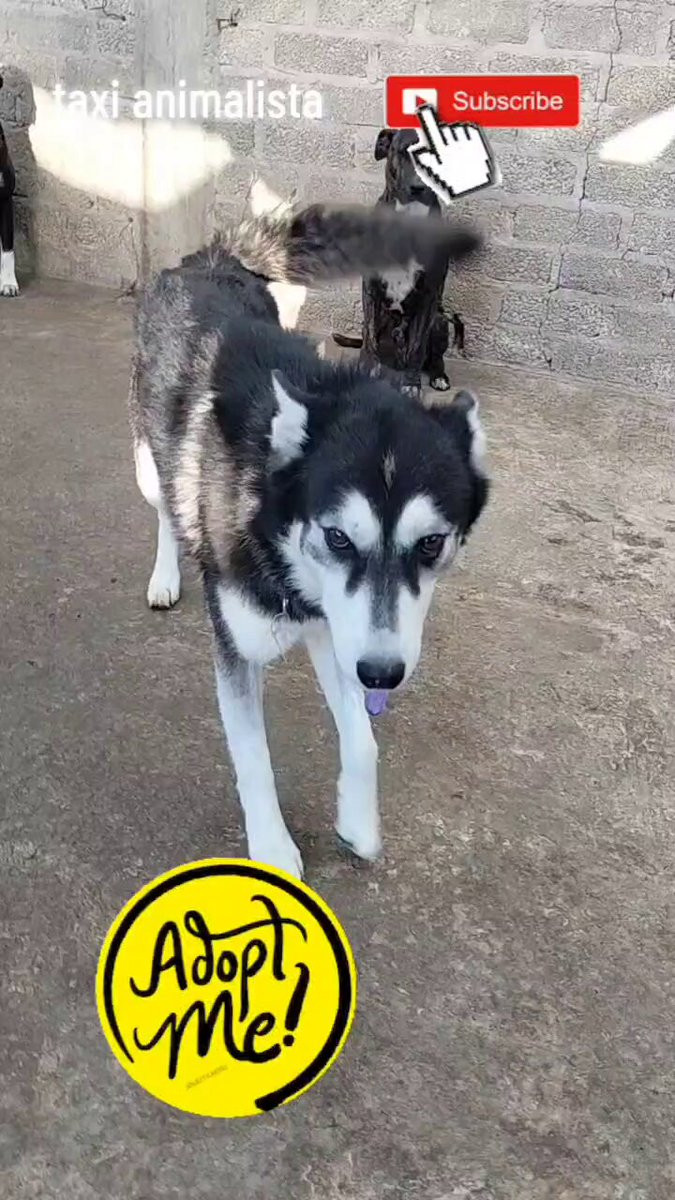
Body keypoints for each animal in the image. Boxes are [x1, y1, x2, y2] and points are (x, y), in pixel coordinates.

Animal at [129, 201, 489, 879]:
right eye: (338, 538)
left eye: (431, 544)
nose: (384, 675)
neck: (273, 529)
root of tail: (206, 260)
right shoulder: (242, 649)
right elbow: (254, 761)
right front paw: (272, 846)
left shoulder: (341, 628)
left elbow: (363, 740)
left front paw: (358, 820)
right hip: (145, 459)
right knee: (163, 503)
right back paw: (166, 572)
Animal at [334, 128, 459, 397]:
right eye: (403, 152)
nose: (419, 187)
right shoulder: (370, 290)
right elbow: (370, 340)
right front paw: (364, 372)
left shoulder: (428, 297)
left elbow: (416, 347)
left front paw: (411, 384)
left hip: (440, 321)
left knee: (433, 358)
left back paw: (438, 376)